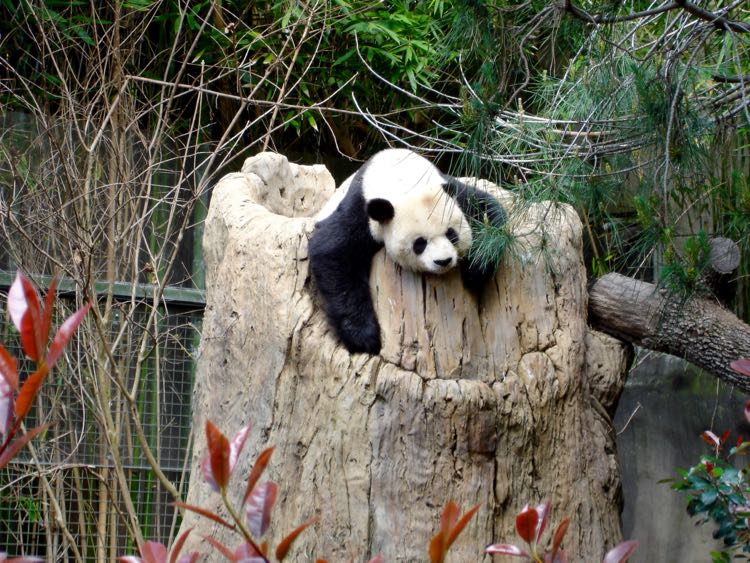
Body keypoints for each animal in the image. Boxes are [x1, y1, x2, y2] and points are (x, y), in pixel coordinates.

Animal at [308, 148, 508, 354]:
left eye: (451, 234)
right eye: (419, 243)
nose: (443, 261)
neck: (404, 178)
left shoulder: (453, 193)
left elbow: (489, 212)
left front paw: (475, 270)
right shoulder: (360, 210)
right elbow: (332, 252)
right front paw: (363, 337)